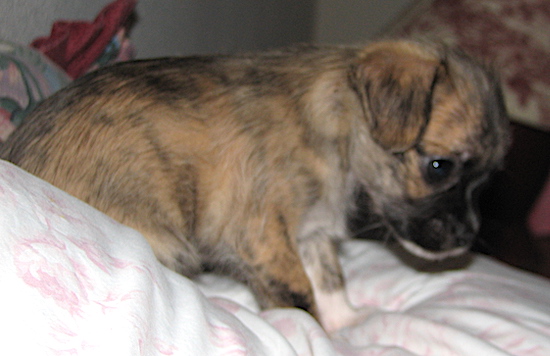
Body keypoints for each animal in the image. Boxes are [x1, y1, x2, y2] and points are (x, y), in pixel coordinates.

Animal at [0, 39, 508, 330]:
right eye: (439, 167)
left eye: (485, 180)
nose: (466, 239)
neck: (340, 124)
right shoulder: (265, 236)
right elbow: (301, 298)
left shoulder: (310, 231)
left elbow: (330, 280)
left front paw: (347, 323)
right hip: (164, 242)